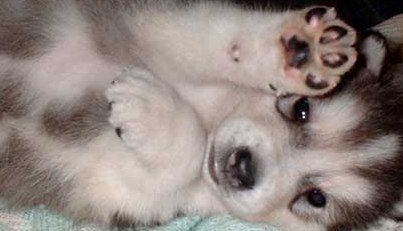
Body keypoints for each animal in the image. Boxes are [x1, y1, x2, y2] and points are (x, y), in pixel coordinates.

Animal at [0, 0, 378, 231]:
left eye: (316, 198)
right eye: (301, 110)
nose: (243, 167)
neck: (211, 113)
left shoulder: (124, 193)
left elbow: (165, 165)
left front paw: (144, 107)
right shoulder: (151, 27)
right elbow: (207, 38)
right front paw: (293, 50)